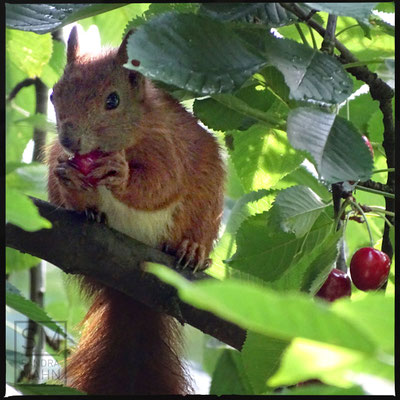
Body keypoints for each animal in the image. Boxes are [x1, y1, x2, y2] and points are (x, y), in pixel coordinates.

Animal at [47, 26, 225, 396]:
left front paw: (121, 173)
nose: (70, 141)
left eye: (113, 101)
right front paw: (69, 177)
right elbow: (64, 184)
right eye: (55, 95)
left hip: (206, 207)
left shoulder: (169, 144)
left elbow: (163, 183)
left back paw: (192, 250)